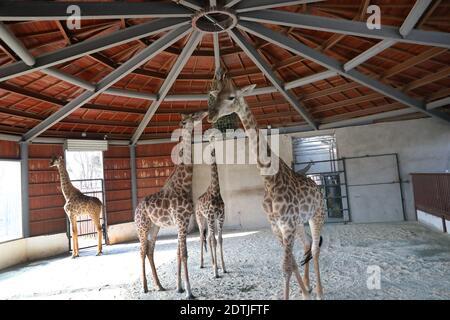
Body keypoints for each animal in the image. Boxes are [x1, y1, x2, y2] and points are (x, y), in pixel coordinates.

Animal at [134, 110, 208, 300]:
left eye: (195, 115)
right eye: (189, 119)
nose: (204, 113)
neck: (184, 184)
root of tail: (136, 210)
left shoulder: (183, 222)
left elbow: (178, 253)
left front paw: (179, 287)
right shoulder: (181, 221)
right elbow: (184, 253)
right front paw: (189, 291)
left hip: (155, 227)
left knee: (150, 250)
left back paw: (159, 285)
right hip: (142, 227)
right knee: (141, 250)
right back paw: (144, 287)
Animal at [206, 78, 326, 300]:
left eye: (231, 97)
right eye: (215, 95)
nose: (210, 115)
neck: (270, 179)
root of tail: (317, 186)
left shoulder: (287, 225)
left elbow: (286, 267)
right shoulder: (276, 226)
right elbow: (291, 264)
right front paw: (304, 292)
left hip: (317, 215)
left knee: (314, 248)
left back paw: (320, 292)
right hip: (299, 223)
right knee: (306, 246)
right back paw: (307, 286)